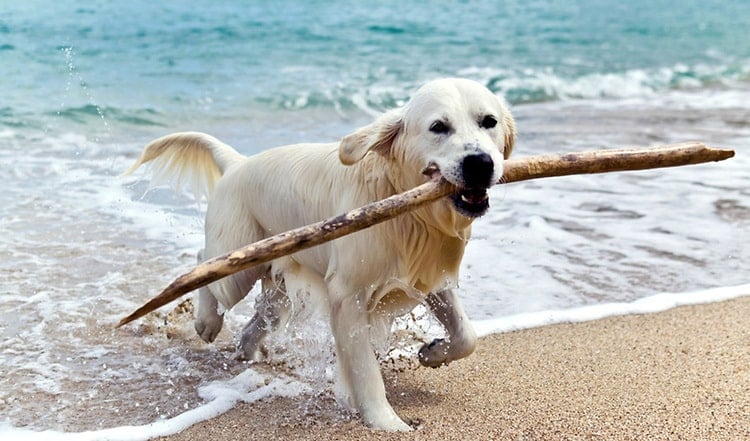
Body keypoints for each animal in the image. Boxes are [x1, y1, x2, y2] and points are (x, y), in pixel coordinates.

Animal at [131, 77, 516, 428]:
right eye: (438, 127)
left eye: (489, 121)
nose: (480, 163)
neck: (406, 208)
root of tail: (238, 163)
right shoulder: (348, 295)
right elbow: (365, 371)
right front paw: (387, 423)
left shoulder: (427, 275)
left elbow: (467, 335)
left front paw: (433, 353)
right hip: (238, 266)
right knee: (204, 264)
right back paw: (207, 321)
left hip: (278, 286)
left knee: (259, 317)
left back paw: (248, 349)